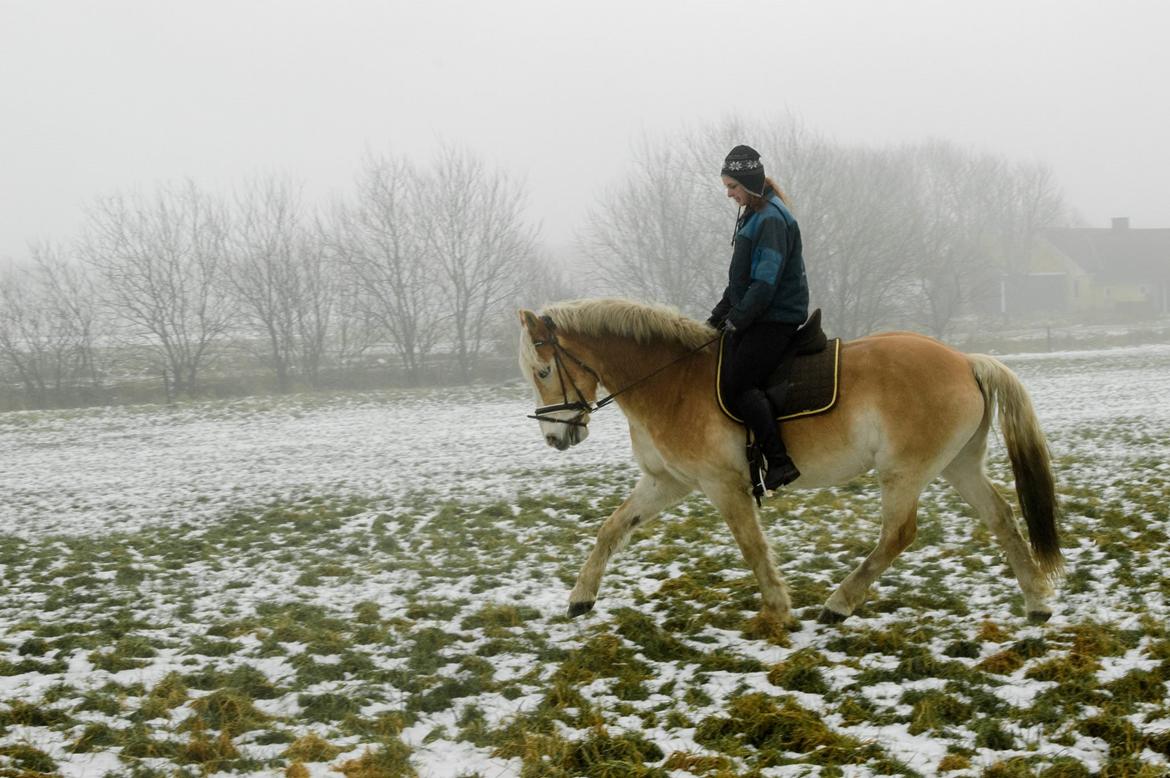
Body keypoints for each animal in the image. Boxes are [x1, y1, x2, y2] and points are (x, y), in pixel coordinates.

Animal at [517, 294, 1067, 627]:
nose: (555, 437)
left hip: (904, 471)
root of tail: (965, 361)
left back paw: (838, 603)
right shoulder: (666, 482)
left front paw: (778, 609)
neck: (671, 383)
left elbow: (752, 546)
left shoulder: (724, 485)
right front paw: (581, 597)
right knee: (1000, 517)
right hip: (958, 465)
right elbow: (612, 529)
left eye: (543, 370)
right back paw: (1037, 603)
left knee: (898, 534)